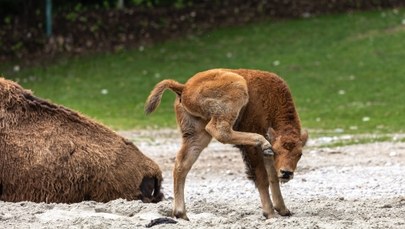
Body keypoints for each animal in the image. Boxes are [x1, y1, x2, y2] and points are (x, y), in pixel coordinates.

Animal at [144, 68, 306, 220]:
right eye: (277, 151)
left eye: (300, 154)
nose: (287, 173)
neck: (271, 100)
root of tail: (184, 87)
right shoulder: (253, 150)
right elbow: (263, 177)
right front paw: (270, 213)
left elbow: (273, 176)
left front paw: (283, 210)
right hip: (237, 89)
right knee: (220, 130)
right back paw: (261, 140)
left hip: (196, 134)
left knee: (182, 164)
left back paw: (181, 213)